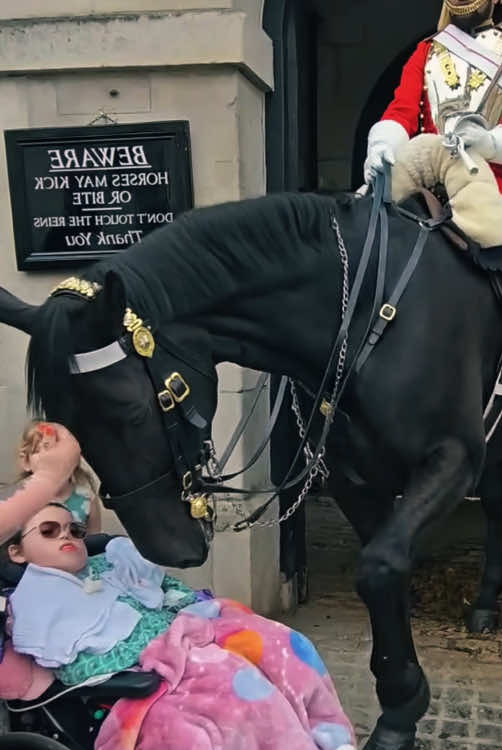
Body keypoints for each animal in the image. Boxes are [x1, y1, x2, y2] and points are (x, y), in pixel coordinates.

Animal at [0, 189, 502, 750]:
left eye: (128, 410)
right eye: (67, 424)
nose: (164, 550)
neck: (370, 315)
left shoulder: (454, 456)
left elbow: (379, 567)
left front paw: (399, 705)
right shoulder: (354, 477)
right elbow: (384, 572)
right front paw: (401, 703)